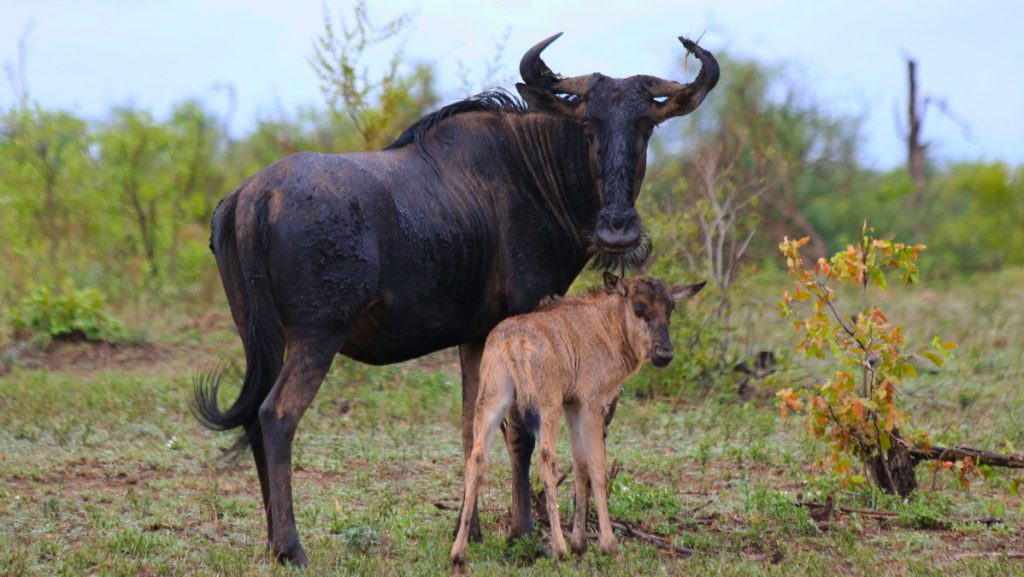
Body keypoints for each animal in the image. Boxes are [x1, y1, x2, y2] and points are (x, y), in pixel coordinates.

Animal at [450, 272, 704, 565]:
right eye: (638, 307)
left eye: (671, 307)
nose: (664, 353)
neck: (605, 325)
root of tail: (512, 342)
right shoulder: (592, 405)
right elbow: (597, 469)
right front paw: (608, 545)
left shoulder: (573, 405)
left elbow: (580, 467)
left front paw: (580, 544)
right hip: (547, 406)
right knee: (545, 458)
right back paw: (558, 547)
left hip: (493, 401)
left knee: (476, 458)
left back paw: (459, 551)